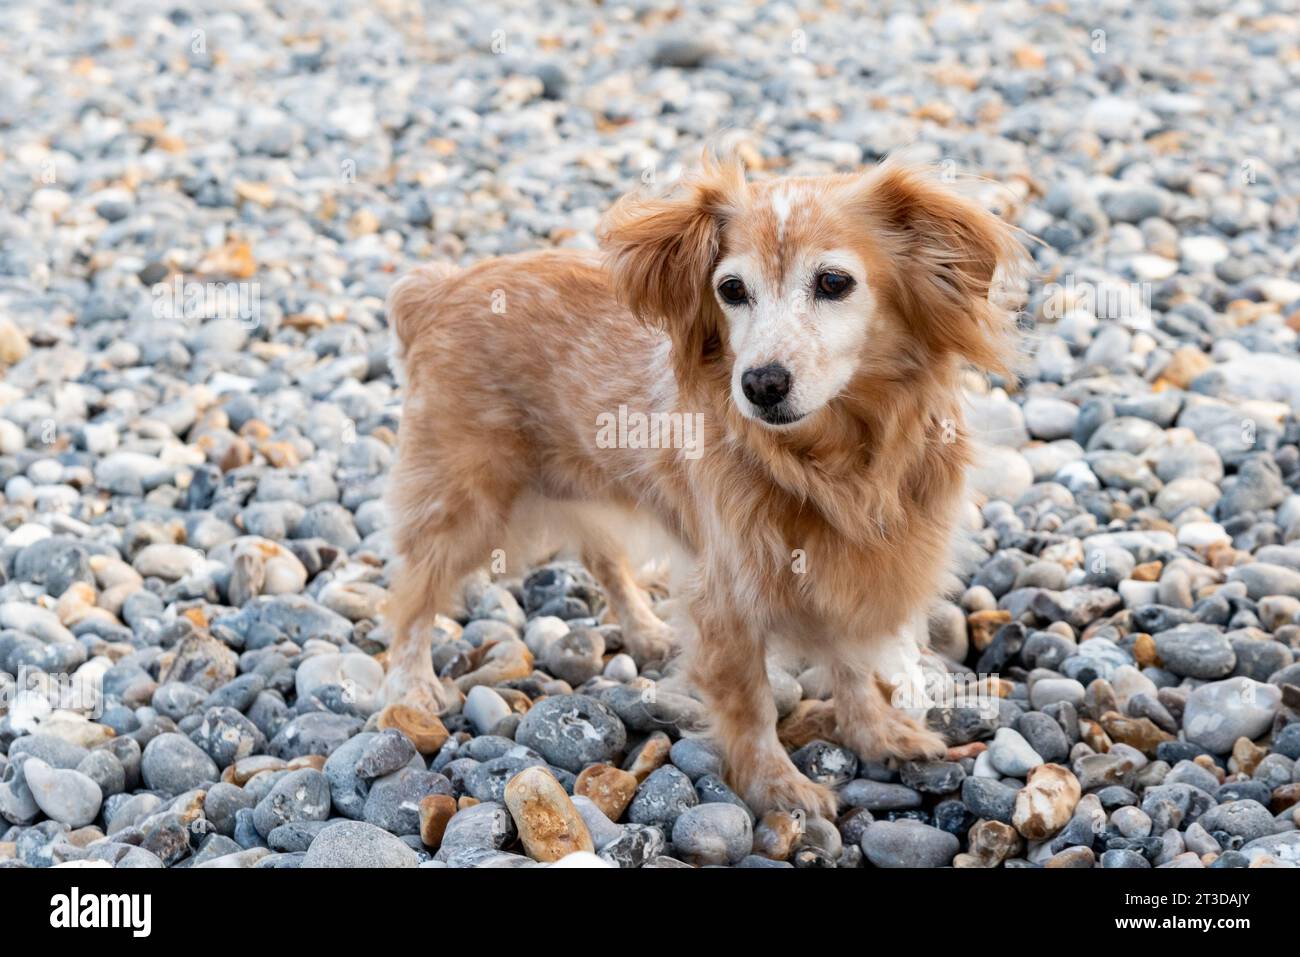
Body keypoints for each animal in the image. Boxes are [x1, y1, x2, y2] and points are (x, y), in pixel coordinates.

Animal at [379, 157, 1029, 816]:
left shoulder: (849, 570)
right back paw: (413, 689)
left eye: (833, 282)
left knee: (602, 558)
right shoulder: (728, 592)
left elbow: (851, 669)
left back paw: (645, 631)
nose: (760, 384)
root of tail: (436, 289)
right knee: (413, 597)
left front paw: (877, 733)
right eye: (732, 290)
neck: (834, 458)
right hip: (461, 501)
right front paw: (777, 787)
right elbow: (751, 706)